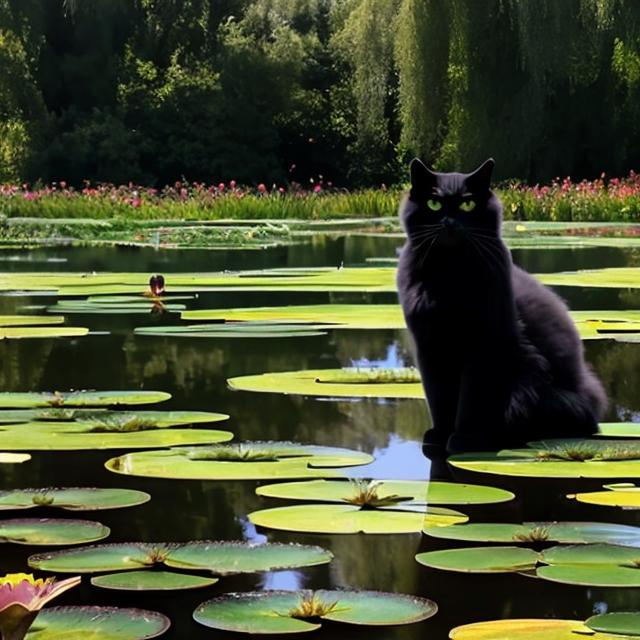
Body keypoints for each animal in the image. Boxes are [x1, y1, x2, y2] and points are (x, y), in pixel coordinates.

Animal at [398, 158, 608, 452]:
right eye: (434, 204)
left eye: (468, 204)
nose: (450, 222)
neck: (449, 275)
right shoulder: (430, 347)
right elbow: (439, 398)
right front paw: (440, 435)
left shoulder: (482, 345)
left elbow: (471, 398)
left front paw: (464, 439)